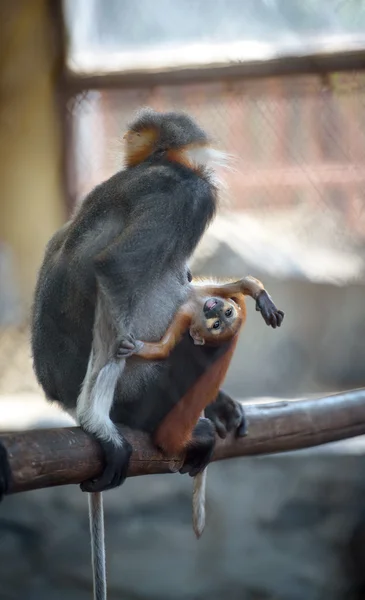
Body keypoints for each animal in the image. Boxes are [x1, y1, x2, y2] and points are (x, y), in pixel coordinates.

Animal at [116, 274, 284, 536]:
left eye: (218, 325)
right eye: (225, 313)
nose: (214, 309)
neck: (198, 307)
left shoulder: (187, 316)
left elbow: (163, 349)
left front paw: (137, 348)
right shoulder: (201, 299)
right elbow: (240, 285)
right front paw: (263, 300)